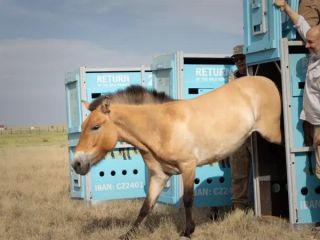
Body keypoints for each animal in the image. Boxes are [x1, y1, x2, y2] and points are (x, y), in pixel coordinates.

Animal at [71, 76, 282, 239]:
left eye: (96, 126)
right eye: (83, 126)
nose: (76, 163)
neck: (161, 126)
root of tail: (267, 81)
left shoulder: (188, 166)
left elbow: (188, 199)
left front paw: (187, 231)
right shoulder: (159, 176)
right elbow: (146, 206)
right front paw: (128, 234)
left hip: (273, 135)